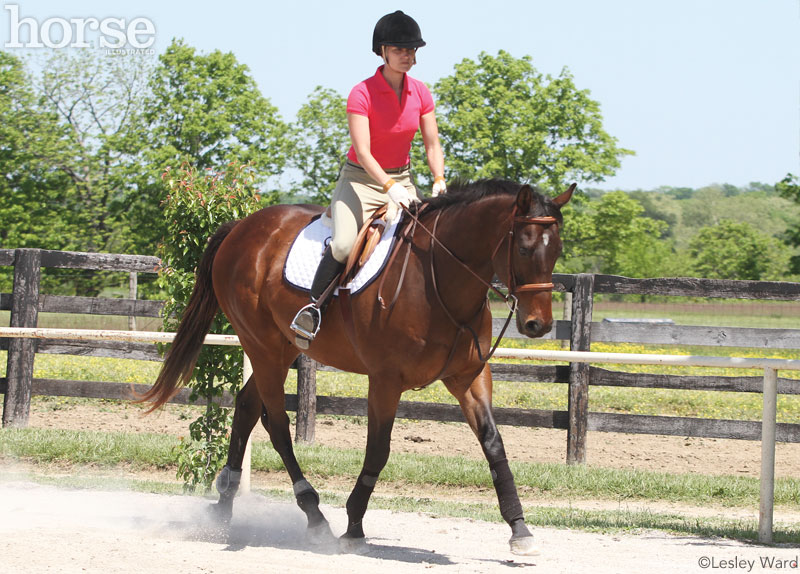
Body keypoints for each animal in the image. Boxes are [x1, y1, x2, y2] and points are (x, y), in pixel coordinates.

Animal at [141, 180, 572, 560]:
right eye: (524, 248)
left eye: (557, 250)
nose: (539, 325)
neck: (440, 281)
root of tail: (242, 227)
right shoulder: (385, 381)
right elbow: (378, 451)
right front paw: (353, 528)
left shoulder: (469, 377)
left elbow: (494, 444)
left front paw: (520, 530)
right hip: (262, 346)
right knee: (277, 425)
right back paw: (313, 516)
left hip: (280, 350)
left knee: (248, 407)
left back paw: (225, 503)